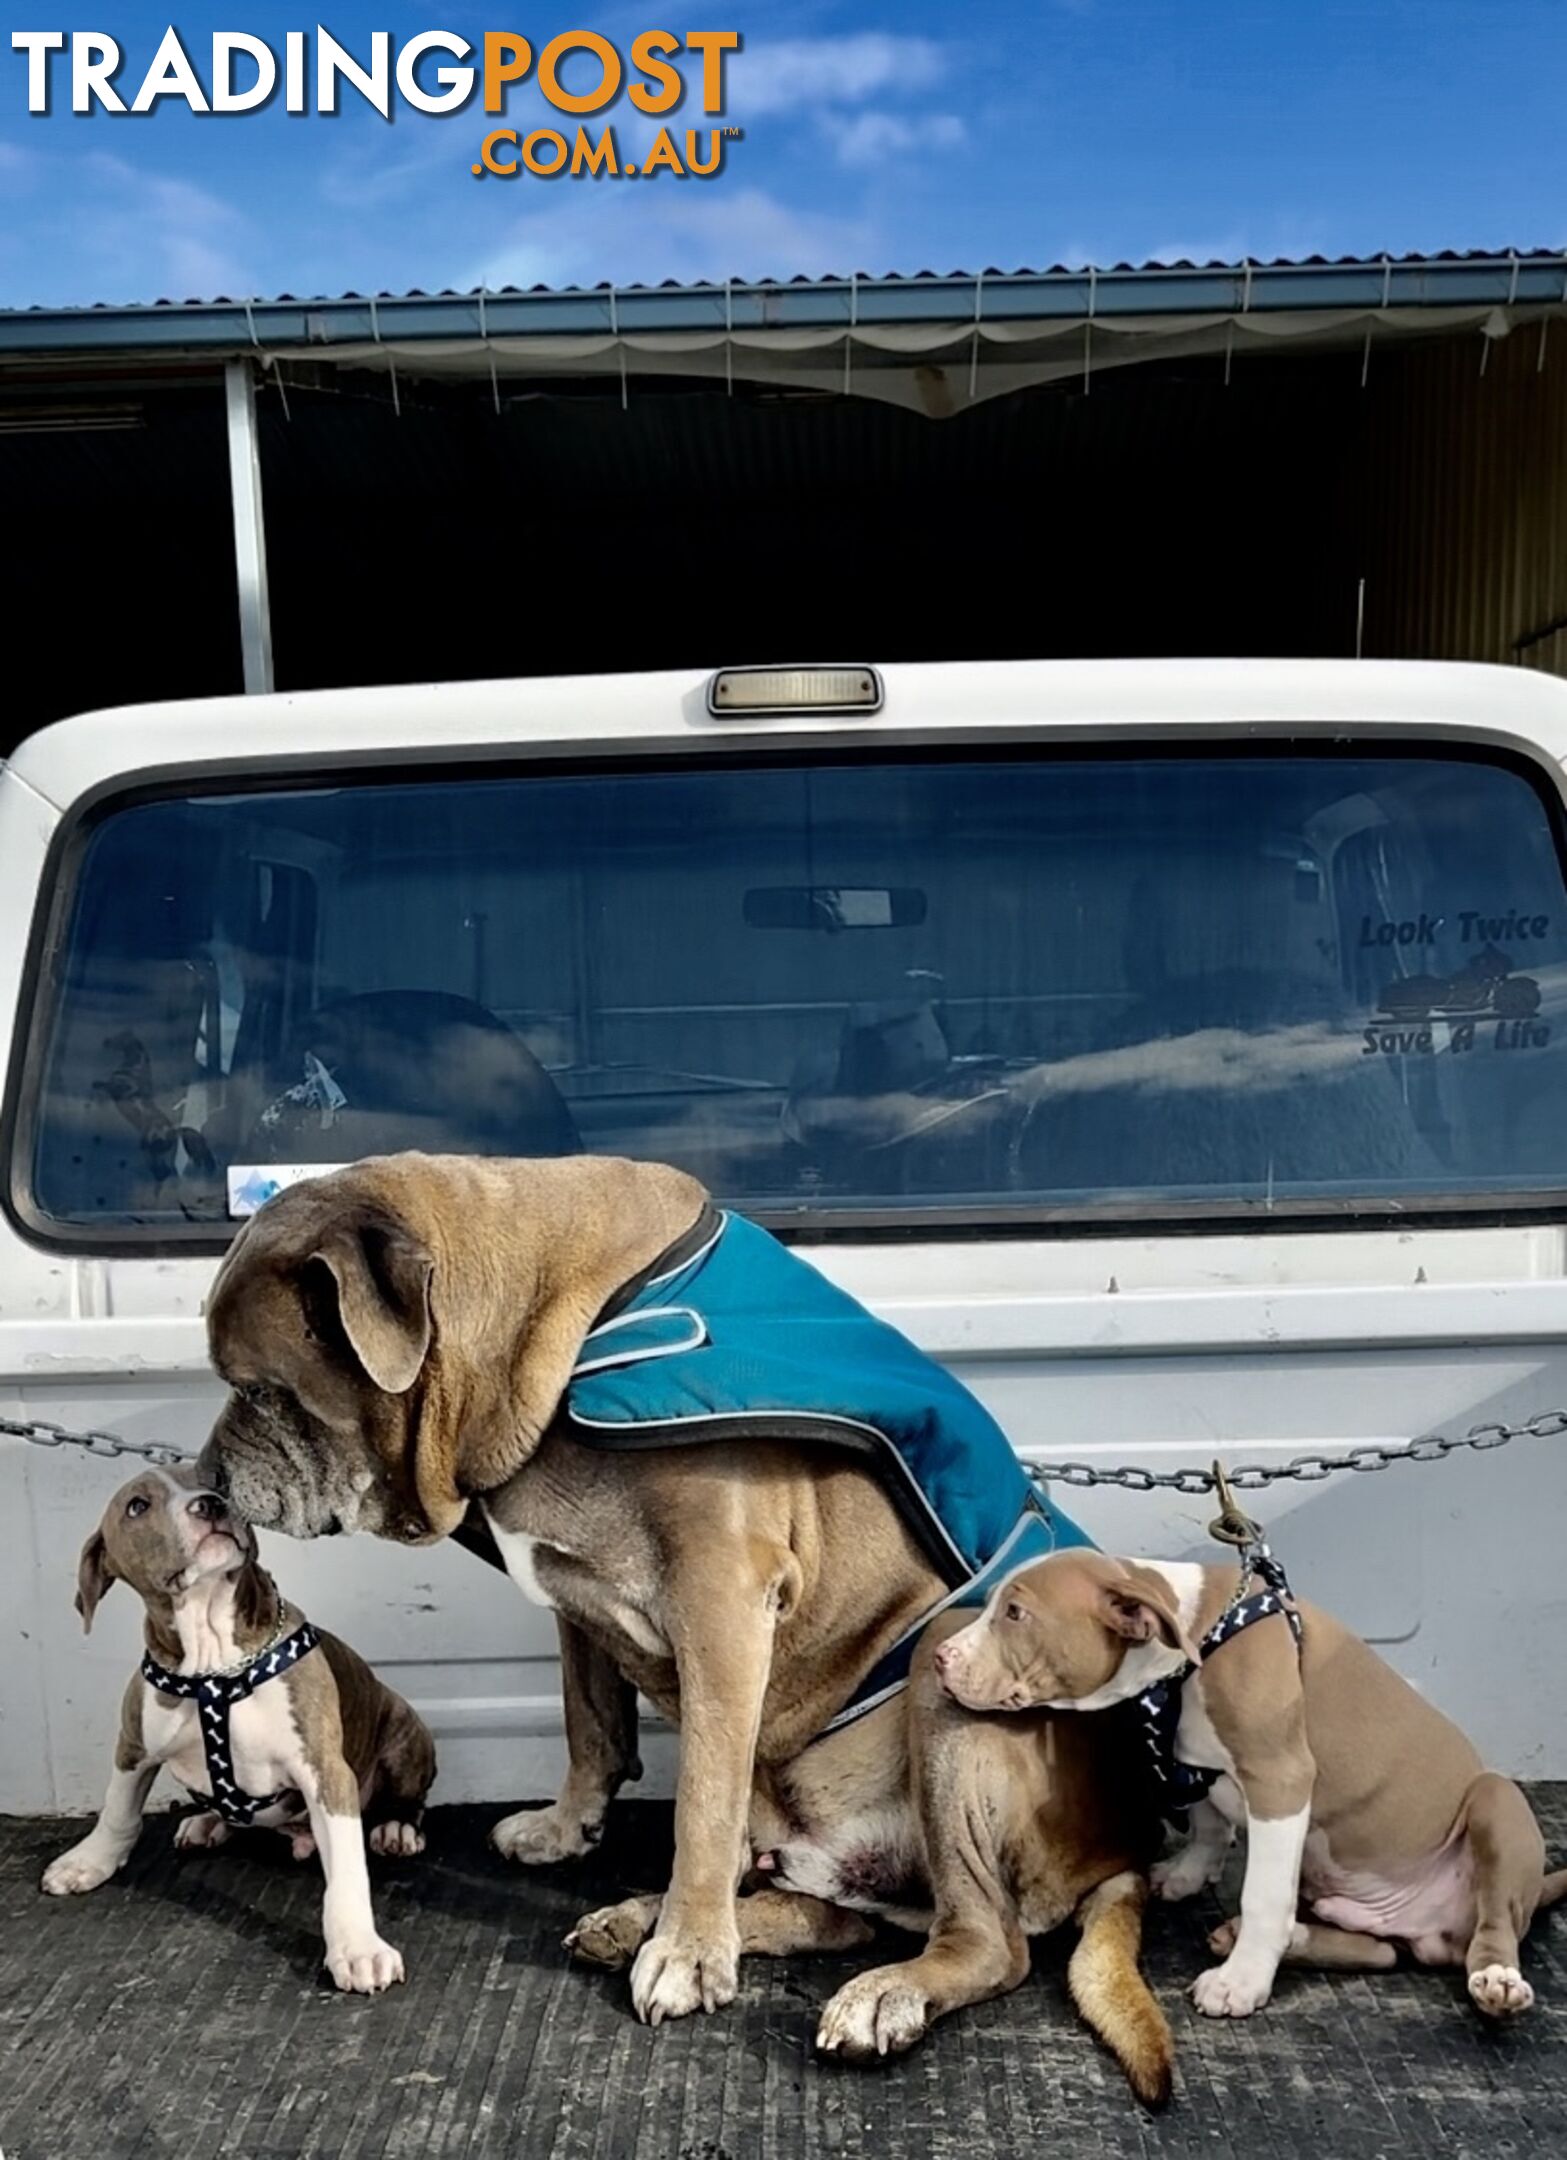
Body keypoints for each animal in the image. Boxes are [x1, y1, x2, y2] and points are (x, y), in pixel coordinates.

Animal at [42, 1468, 434, 1987]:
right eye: (137, 1506)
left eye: (210, 1480)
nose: (210, 1502)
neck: (215, 1663)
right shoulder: (134, 1746)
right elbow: (118, 1810)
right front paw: (89, 1861)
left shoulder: (324, 1771)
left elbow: (348, 1872)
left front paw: (358, 1948)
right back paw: (208, 1821)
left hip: (405, 1728)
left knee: (407, 1797)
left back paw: (396, 1828)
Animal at [195, 1149, 1158, 2073]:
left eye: (260, 1391)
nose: (205, 1478)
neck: (560, 1330)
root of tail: (1114, 1849)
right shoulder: (573, 1599)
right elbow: (590, 1723)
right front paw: (570, 1831)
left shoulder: (721, 1599)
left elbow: (700, 1796)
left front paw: (690, 1951)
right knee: (819, 1909)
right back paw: (638, 1920)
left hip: (947, 1670)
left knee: (985, 1940)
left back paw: (872, 1991)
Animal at [929, 1555, 1564, 2021]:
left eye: (1015, 1613)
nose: (938, 1656)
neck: (1195, 1640)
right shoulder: (1196, 1762)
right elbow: (1209, 1823)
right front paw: (1188, 1875)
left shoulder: (1280, 1778)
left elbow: (1262, 1893)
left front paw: (1241, 1981)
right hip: (1360, 1911)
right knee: (1382, 1951)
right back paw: (1295, 1938)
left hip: (1495, 1805)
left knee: (1490, 1927)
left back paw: (1497, 1979)